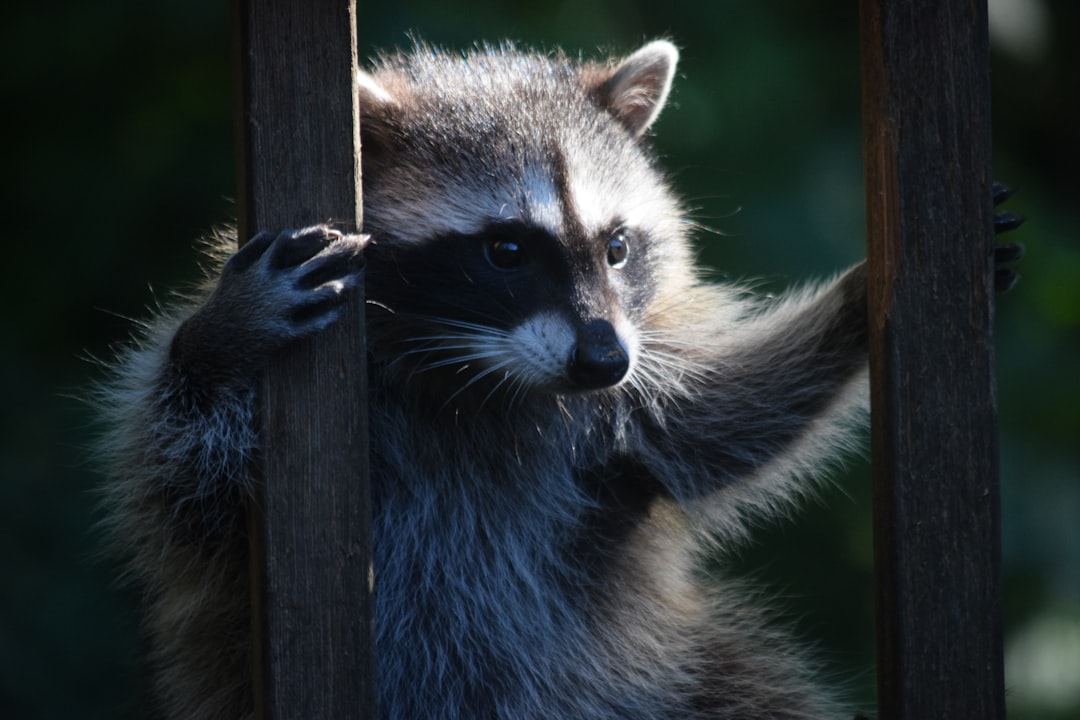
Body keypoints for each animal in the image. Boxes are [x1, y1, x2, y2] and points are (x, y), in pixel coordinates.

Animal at [98, 41, 874, 719]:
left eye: (617, 248)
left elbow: (712, 426)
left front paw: (852, 309)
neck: (483, 381)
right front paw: (221, 340)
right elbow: (183, 480)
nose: (604, 363)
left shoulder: (615, 408)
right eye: (506, 251)